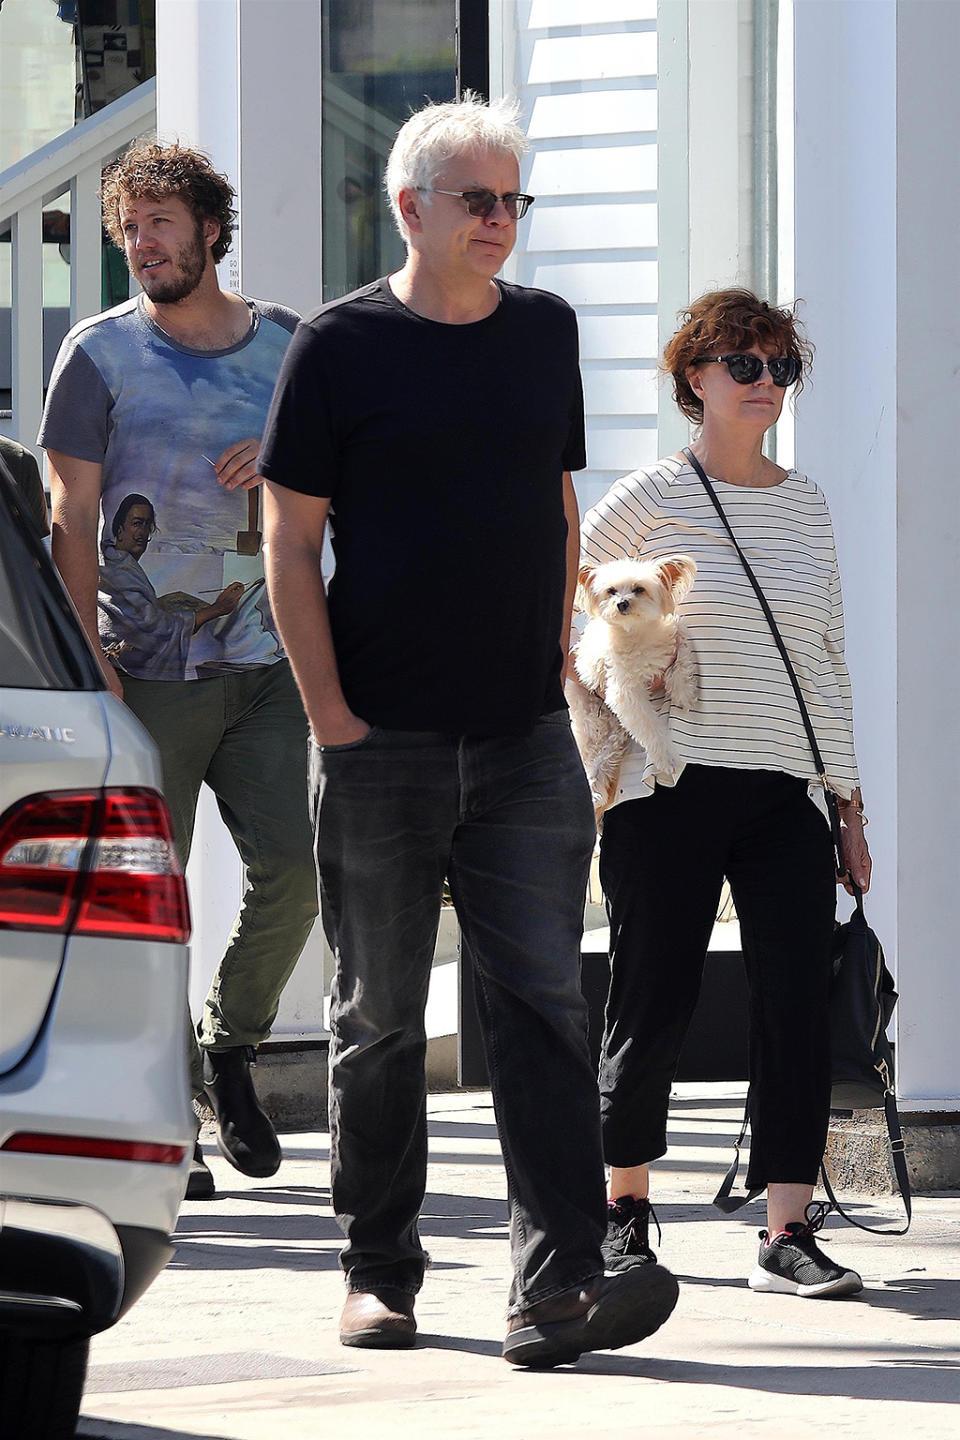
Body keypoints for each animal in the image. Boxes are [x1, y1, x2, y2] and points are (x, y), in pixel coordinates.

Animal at [569, 552, 699, 823]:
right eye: (611, 591)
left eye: (639, 589)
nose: (622, 604)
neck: (637, 633)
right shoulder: (624, 692)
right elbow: (651, 728)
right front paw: (667, 758)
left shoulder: (675, 632)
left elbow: (682, 656)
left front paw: (683, 691)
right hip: (596, 726)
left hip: (613, 739)